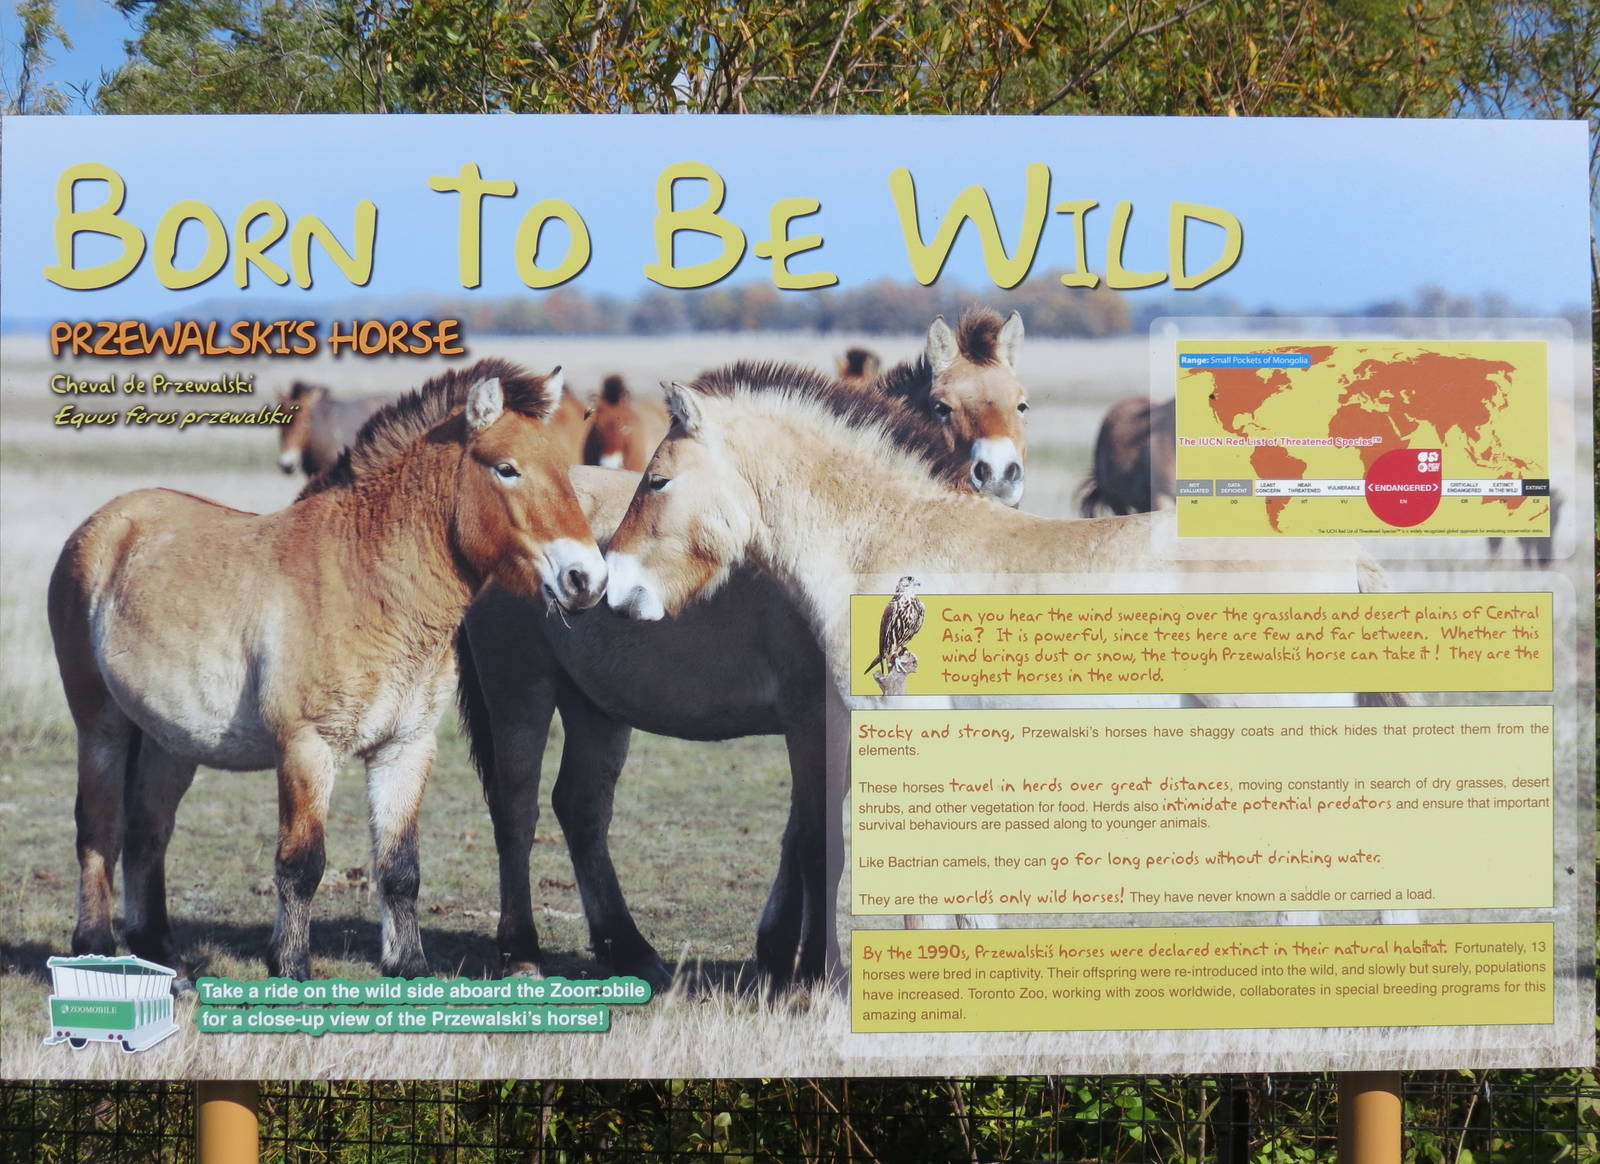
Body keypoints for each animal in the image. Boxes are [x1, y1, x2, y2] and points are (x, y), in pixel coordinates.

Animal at [49, 360, 606, 981]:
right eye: (507, 469)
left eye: (565, 469)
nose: (588, 580)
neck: (367, 580)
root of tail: (104, 523)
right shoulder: (306, 748)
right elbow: (301, 864)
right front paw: (290, 966)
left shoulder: (404, 748)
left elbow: (400, 867)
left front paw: (409, 966)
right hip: (100, 725)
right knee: (99, 829)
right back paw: (93, 948)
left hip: (171, 741)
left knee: (148, 831)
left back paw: (160, 953)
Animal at [457, 329, 1025, 992]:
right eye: (941, 405)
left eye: (1020, 402)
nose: (998, 475)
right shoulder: (815, 720)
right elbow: (819, 840)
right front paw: (817, 970)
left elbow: (800, 836)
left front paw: (780, 955)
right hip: (520, 691)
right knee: (516, 809)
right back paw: (521, 950)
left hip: (596, 707)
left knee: (581, 809)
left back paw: (629, 949)